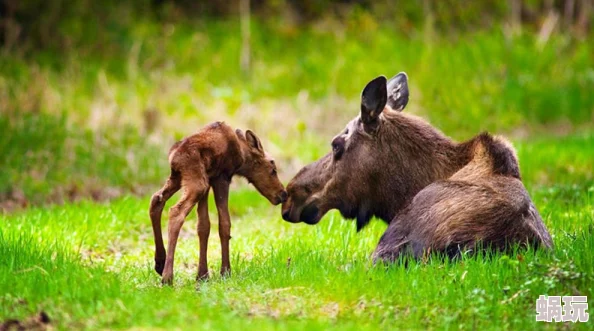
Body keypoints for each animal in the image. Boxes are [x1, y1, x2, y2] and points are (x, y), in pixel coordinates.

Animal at [149, 122, 286, 286]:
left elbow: (203, 226)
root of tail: (173, 157)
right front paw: (225, 271)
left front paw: (202, 275)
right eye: (273, 169)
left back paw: (160, 263)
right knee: (176, 211)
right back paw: (167, 277)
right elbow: (224, 224)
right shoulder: (222, 177)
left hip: (179, 178)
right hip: (197, 183)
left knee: (156, 199)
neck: (242, 157)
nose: (283, 194)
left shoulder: (209, 180)